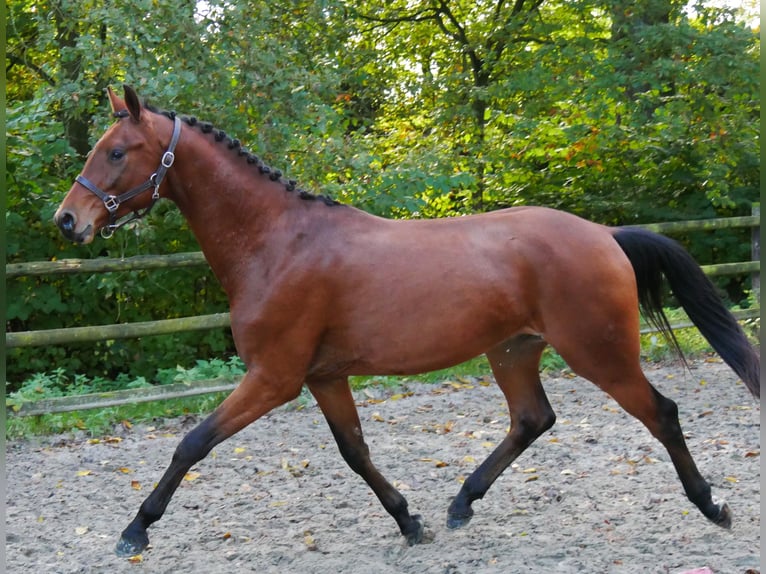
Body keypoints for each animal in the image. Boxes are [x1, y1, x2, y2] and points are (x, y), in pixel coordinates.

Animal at [54, 85, 760, 560]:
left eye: (117, 151)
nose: (68, 221)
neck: (277, 243)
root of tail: (605, 236)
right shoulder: (322, 377)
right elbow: (355, 452)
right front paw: (409, 521)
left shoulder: (274, 377)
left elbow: (192, 443)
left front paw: (135, 530)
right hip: (514, 351)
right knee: (532, 419)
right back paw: (459, 505)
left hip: (600, 354)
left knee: (661, 413)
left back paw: (714, 506)